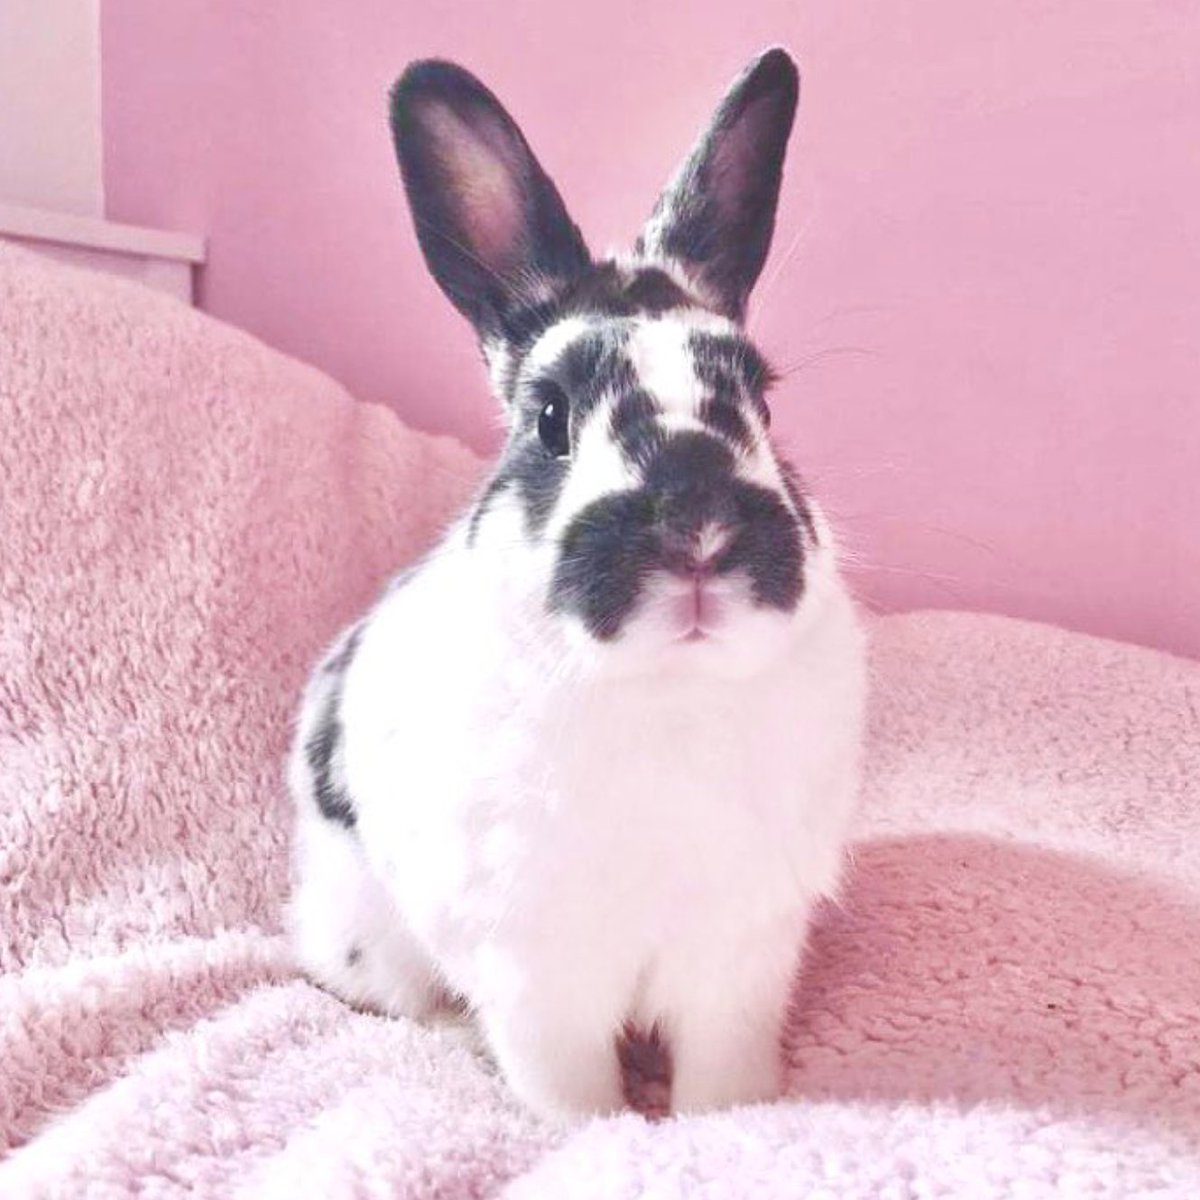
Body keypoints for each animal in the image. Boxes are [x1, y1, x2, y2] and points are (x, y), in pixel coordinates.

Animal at [286, 46, 866, 1119]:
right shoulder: (535, 971)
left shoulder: (740, 960)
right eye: (550, 416)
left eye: (761, 399)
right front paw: (590, 1130)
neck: (668, 691)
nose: (697, 531)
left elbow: (721, 1072)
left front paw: (724, 1121)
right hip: (368, 937)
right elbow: (566, 1084)